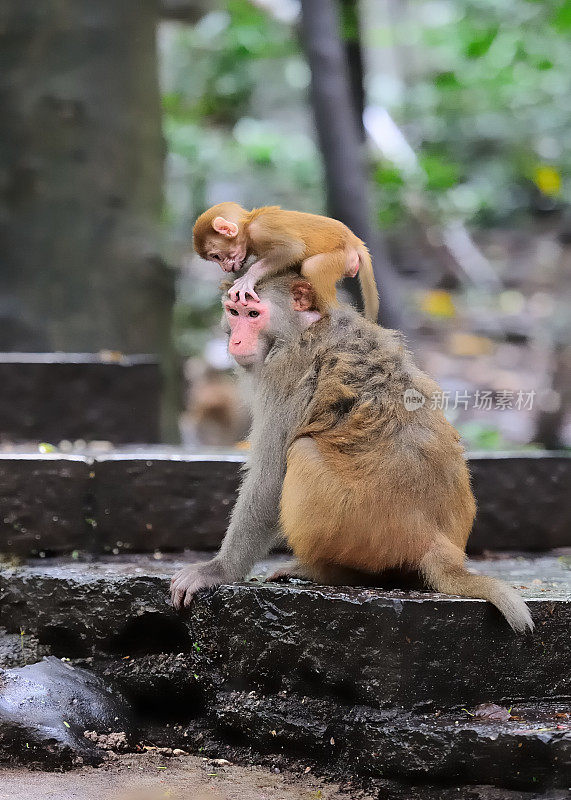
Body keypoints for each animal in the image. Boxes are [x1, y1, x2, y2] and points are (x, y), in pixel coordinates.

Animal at [169, 272, 532, 636]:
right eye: (234, 312)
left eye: (253, 314)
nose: (237, 340)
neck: (304, 327)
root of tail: (437, 541)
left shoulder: (282, 376)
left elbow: (269, 479)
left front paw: (218, 571)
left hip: (361, 528)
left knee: (303, 450)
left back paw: (327, 572)